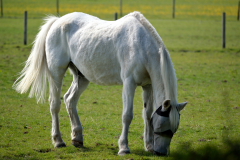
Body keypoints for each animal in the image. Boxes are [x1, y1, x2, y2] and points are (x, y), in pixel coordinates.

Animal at [13, 11, 188, 156]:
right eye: (163, 126)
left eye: (174, 129)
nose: (161, 153)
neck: (140, 45)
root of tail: (57, 21)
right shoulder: (129, 83)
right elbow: (127, 115)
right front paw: (123, 148)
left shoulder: (148, 86)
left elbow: (147, 114)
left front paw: (149, 146)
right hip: (57, 73)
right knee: (55, 104)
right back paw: (58, 141)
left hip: (82, 76)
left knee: (70, 99)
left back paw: (77, 138)